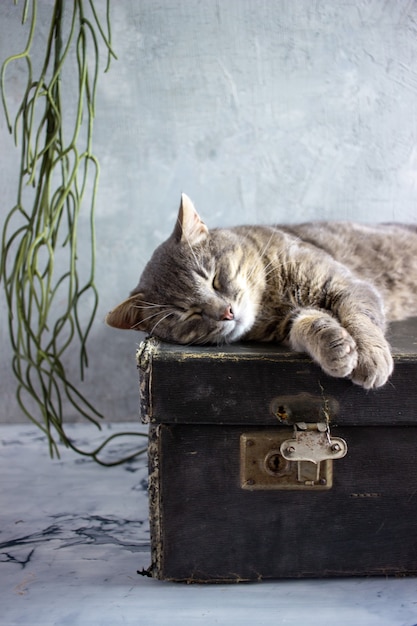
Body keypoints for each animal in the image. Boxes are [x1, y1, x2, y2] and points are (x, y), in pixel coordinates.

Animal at [106, 193, 416, 388]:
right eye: (188, 313)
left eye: (213, 279)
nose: (227, 313)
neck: (271, 299)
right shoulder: (286, 326)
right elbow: (308, 324)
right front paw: (335, 346)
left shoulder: (348, 285)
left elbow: (361, 318)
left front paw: (370, 358)